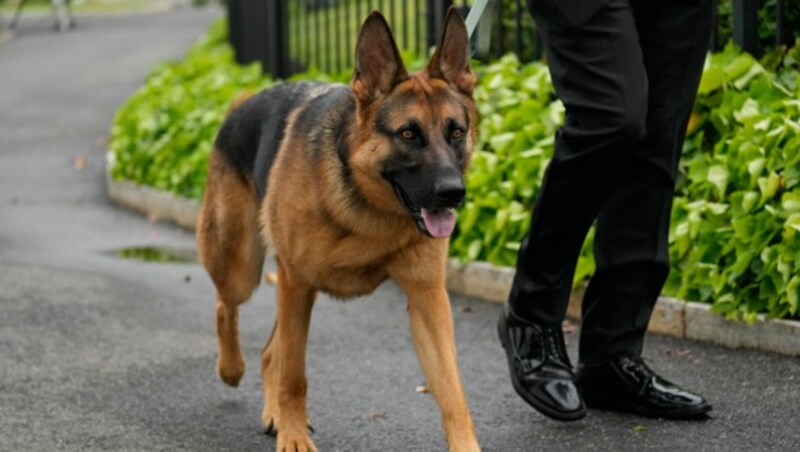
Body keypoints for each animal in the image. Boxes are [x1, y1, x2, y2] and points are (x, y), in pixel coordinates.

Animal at [197, 7, 478, 452]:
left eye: (456, 132)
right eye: (408, 133)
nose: (453, 193)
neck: (367, 207)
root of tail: (241, 105)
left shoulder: (428, 299)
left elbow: (452, 391)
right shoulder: (296, 284)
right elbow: (295, 376)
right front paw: (294, 436)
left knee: (270, 352)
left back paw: (272, 410)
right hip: (242, 267)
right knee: (227, 307)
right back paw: (231, 368)